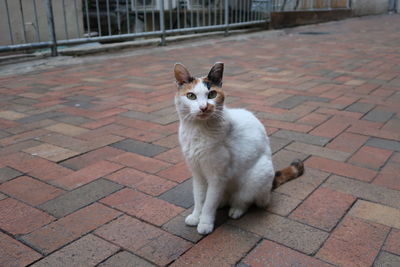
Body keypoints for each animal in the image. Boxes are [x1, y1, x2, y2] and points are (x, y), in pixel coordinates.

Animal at [173, 62, 304, 234]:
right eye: (191, 96)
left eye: (212, 94)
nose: (204, 107)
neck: (197, 131)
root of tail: (269, 189)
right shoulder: (197, 173)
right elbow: (199, 198)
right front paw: (196, 216)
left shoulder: (218, 177)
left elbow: (209, 203)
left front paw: (205, 223)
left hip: (257, 176)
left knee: (245, 200)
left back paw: (236, 210)